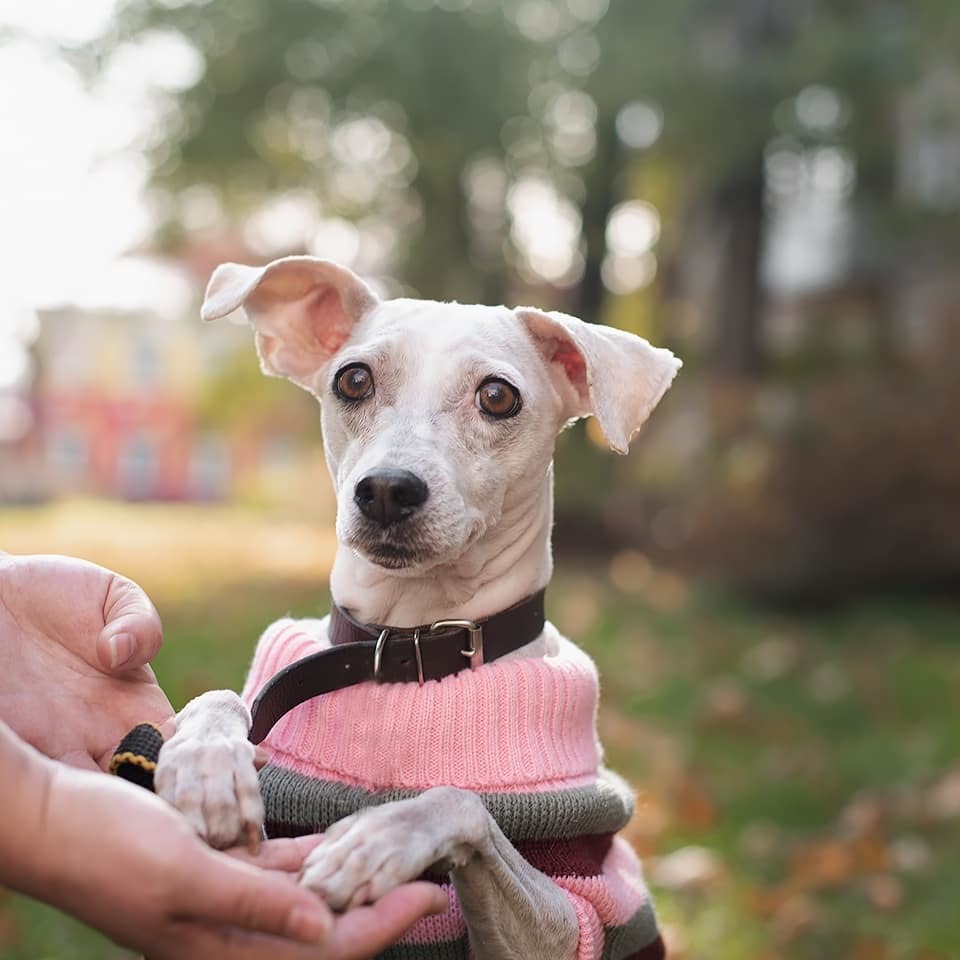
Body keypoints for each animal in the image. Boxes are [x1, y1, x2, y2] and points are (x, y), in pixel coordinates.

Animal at [158, 256, 680, 960]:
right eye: (353, 379)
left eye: (498, 396)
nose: (385, 489)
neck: (403, 648)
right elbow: (218, 699)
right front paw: (206, 764)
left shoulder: (580, 912)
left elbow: (460, 801)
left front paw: (376, 839)